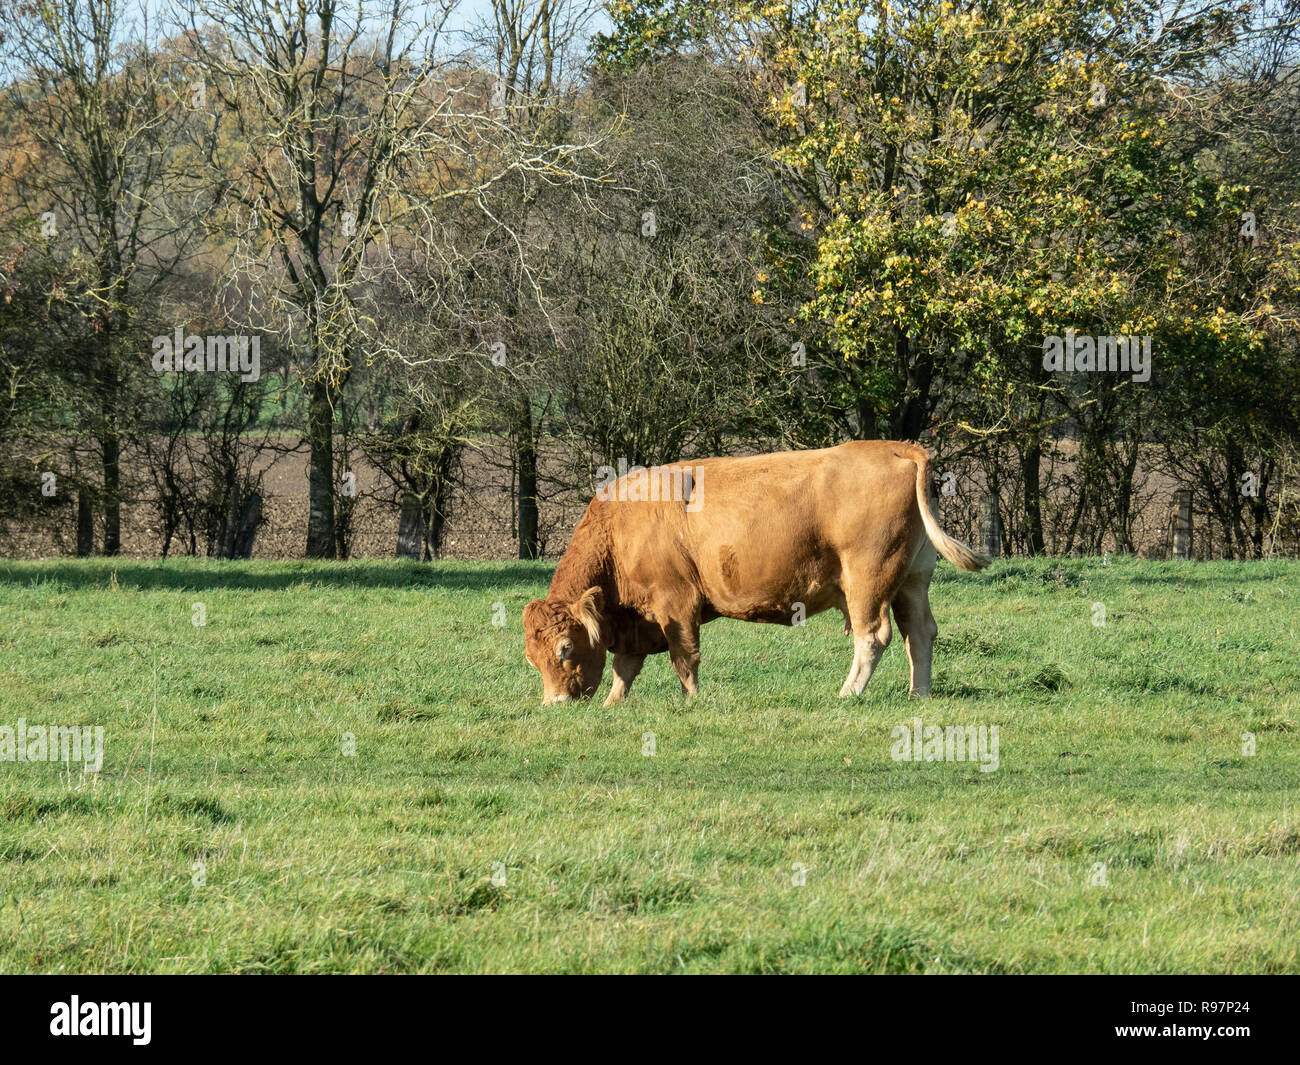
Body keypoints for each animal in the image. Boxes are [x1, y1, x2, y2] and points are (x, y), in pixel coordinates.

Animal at [522, 436, 987, 702]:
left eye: (565, 649)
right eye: (532, 659)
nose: (555, 703)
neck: (620, 525)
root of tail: (895, 446)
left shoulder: (675, 603)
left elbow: (683, 657)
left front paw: (693, 702)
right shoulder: (638, 618)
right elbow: (625, 667)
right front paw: (613, 703)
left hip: (868, 578)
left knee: (872, 636)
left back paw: (848, 693)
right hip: (912, 578)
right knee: (919, 632)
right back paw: (918, 694)